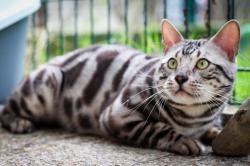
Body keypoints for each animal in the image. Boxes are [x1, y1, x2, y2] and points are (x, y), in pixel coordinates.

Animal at [0, 19, 241, 156]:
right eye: (172, 63)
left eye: (202, 64)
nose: (180, 77)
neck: (194, 117)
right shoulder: (117, 115)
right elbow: (157, 128)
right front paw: (184, 141)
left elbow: (214, 128)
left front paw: (217, 133)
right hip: (46, 83)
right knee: (5, 109)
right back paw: (20, 122)